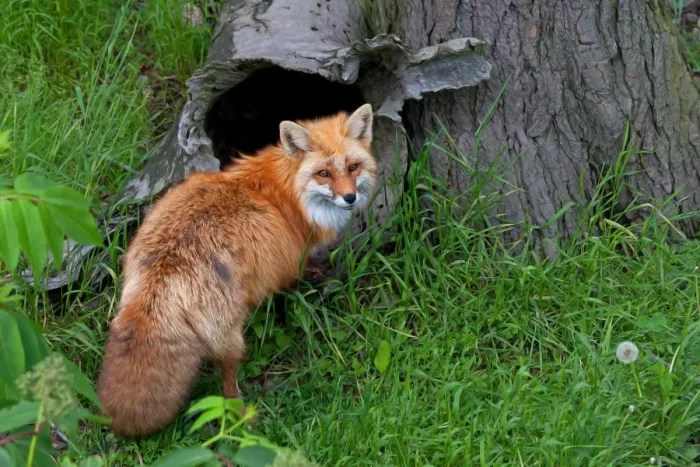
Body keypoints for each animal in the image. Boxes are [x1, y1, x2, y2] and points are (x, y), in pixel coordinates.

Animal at [96, 104, 377, 438]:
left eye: (353, 167)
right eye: (324, 173)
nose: (350, 198)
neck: (286, 194)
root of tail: (166, 270)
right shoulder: (288, 265)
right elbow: (291, 288)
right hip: (231, 337)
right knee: (228, 382)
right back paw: (243, 419)